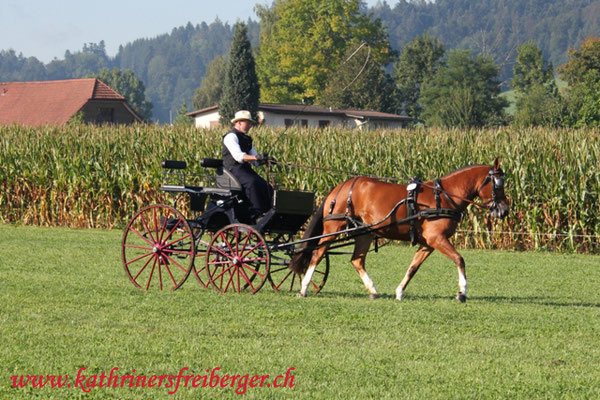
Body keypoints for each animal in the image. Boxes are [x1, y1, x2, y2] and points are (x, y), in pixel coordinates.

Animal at [288, 158, 508, 302]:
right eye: (498, 184)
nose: (504, 210)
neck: (444, 197)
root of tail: (340, 186)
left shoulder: (428, 244)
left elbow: (413, 267)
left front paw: (399, 292)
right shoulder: (436, 239)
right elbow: (459, 259)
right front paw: (462, 292)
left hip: (365, 233)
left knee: (357, 260)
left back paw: (373, 290)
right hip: (333, 228)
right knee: (317, 254)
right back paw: (304, 288)